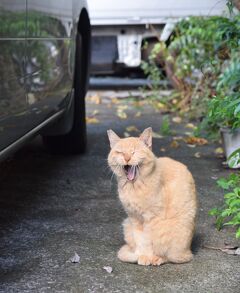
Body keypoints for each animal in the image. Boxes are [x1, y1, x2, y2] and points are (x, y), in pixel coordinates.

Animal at [107, 127, 197, 264]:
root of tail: (189, 251)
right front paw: (141, 255)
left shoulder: (151, 219)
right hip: (127, 224)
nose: (127, 158)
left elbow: (148, 240)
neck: (134, 187)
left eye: (134, 152)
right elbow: (140, 240)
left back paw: (157, 258)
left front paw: (147, 257)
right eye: (120, 152)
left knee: (170, 256)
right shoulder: (134, 218)